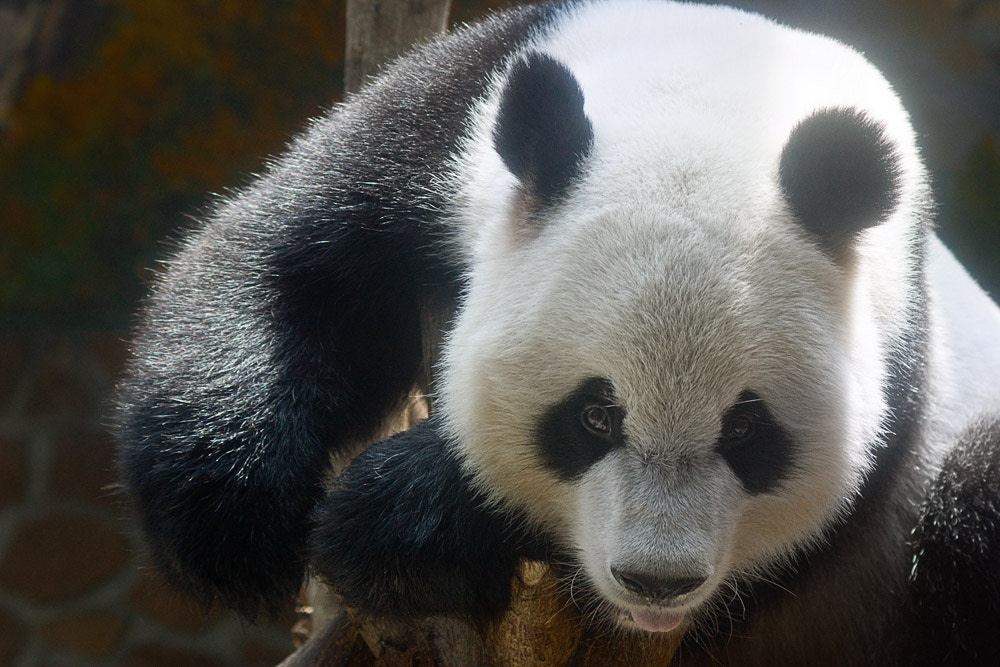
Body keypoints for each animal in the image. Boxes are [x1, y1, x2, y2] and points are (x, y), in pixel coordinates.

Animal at [117, 2, 1000, 664]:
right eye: (595, 414)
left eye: (748, 430)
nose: (656, 580)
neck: (716, 96)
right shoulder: (451, 121)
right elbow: (290, 256)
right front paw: (230, 522)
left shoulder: (889, 399)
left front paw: (405, 517)